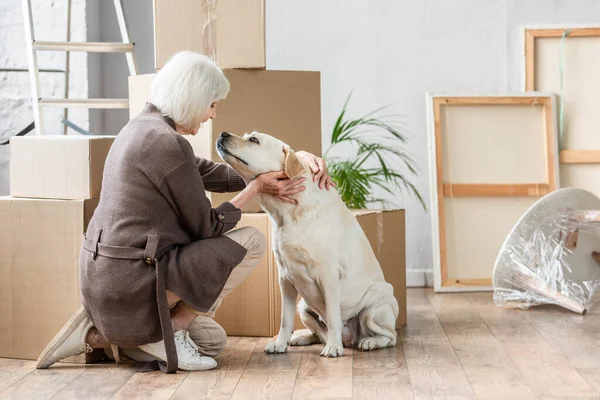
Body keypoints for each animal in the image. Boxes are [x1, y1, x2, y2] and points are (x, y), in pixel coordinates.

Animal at [216, 130, 398, 356]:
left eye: (254, 140)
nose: (223, 133)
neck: (289, 213)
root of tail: (350, 340)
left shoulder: (328, 275)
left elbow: (333, 316)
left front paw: (333, 347)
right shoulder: (285, 278)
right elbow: (285, 319)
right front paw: (280, 343)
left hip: (375, 303)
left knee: (389, 335)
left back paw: (368, 342)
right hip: (303, 306)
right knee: (319, 333)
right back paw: (300, 337)